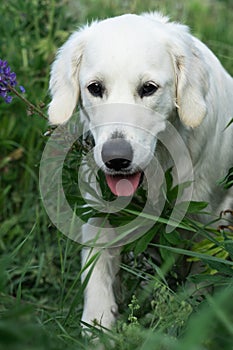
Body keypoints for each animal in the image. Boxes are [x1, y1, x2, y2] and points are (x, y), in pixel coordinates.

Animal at [47, 13, 233, 330]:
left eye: (148, 88)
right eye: (95, 88)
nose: (116, 159)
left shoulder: (208, 224)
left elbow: (199, 282)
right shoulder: (99, 213)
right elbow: (98, 280)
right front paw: (97, 330)